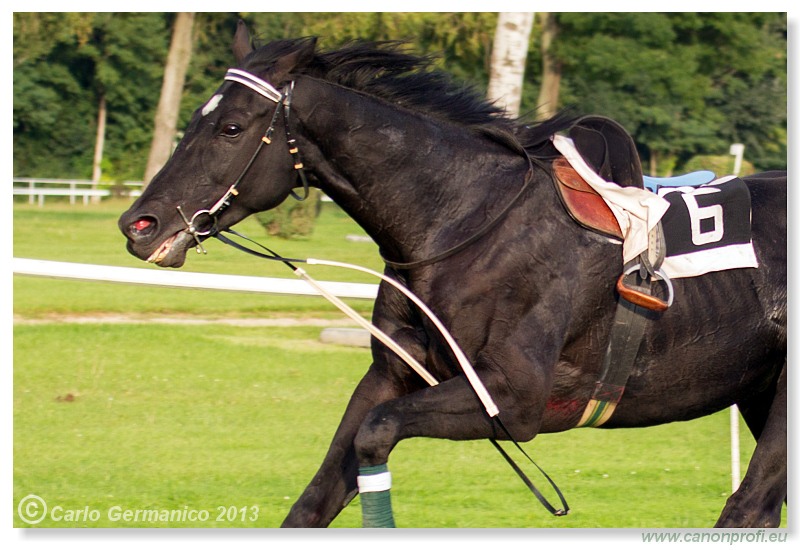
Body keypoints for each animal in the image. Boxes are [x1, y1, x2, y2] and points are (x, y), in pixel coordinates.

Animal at [120, 22, 788, 532]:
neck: (463, 222)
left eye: (231, 127)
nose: (139, 225)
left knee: (749, 505)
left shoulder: (518, 399)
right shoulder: (392, 374)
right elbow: (320, 491)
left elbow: (376, 435)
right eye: (195, 119)